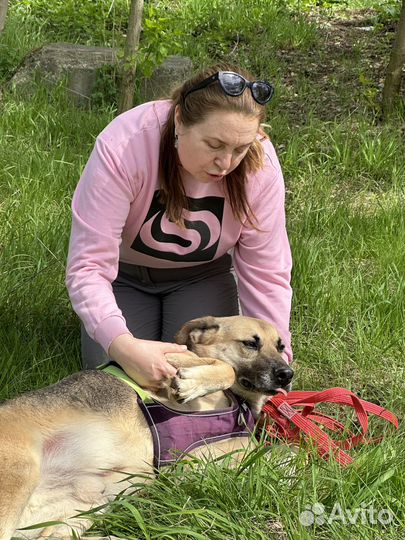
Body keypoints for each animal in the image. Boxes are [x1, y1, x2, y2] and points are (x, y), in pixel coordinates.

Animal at [0, 314, 292, 536]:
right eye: (250, 343)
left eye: (280, 346)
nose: (287, 374)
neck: (239, 404)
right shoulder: (166, 364)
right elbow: (226, 369)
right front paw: (191, 384)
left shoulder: (200, 464)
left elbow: (275, 455)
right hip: (20, 473)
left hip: (83, 508)